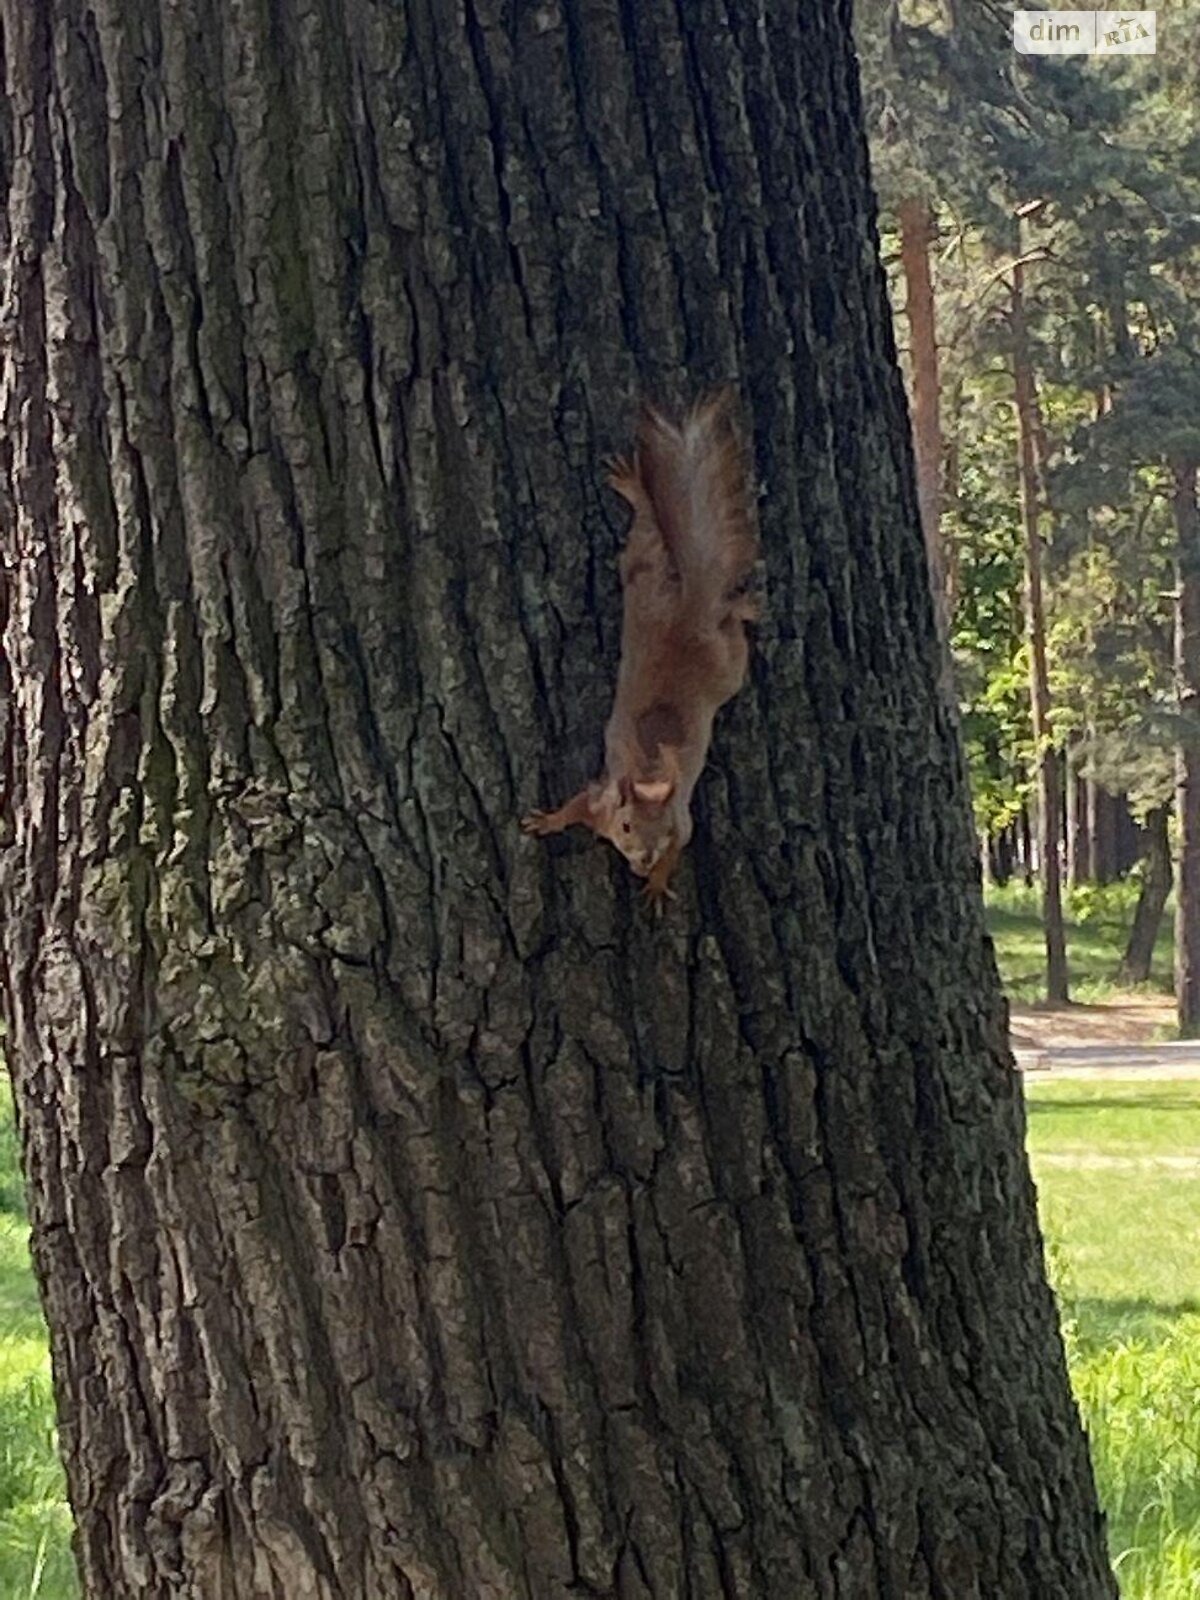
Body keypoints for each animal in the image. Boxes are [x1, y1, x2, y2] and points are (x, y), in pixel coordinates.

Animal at [521, 392, 755, 908]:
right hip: (648, 582)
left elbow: (681, 845)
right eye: (626, 826)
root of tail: (689, 611)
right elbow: (574, 808)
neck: (647, 777)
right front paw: (547, 821)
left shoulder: (683, 824)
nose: (644, 858)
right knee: (648, 532)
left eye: (661, 831)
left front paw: (657, 882)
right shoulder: (600, 799)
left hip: (714, 656)